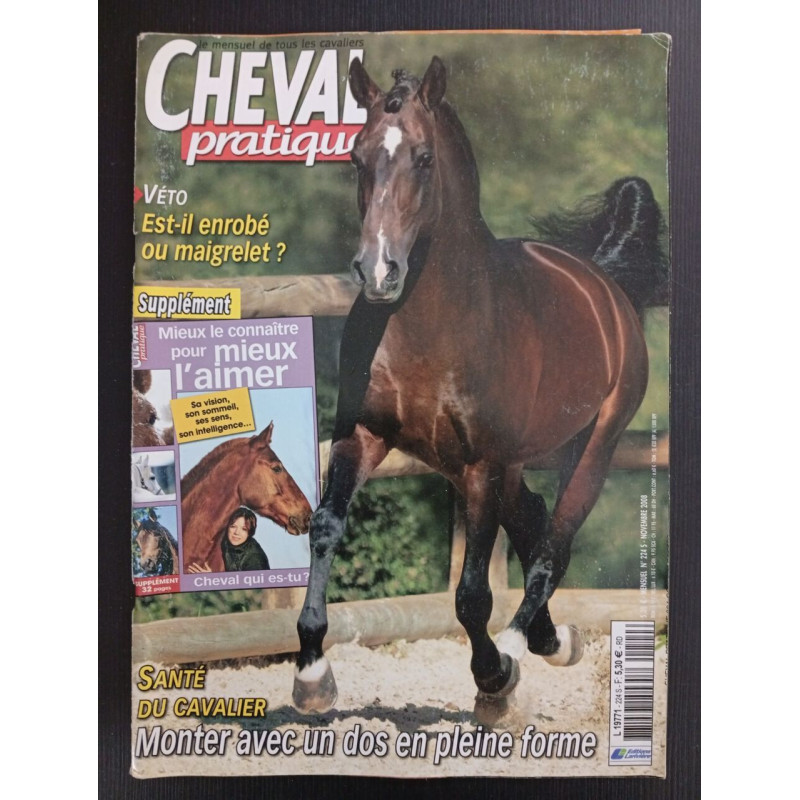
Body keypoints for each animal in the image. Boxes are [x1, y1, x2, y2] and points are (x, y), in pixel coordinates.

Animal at [293, 57, 666, 722]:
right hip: (507, 465)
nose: (378, 270)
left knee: (551, 546)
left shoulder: (481, 465)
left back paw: (520, 653)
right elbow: (326, 527)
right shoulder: (363, 435)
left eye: (423, 158)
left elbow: (471, 593)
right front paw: (312, 674)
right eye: (358, 156)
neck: (434, 323)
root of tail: (604, 286)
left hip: (591, 448)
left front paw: (493, 678)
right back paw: (552, 639)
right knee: (534, 520)